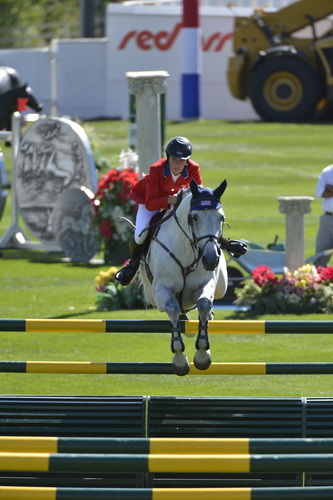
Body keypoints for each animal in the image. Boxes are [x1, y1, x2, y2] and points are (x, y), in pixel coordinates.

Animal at [139, 180, 228, 376]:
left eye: (221, 218)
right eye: (194, 217)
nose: (211, 259)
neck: (187, 248)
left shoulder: (205, 284)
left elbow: (204, 304)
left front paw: (202, 355)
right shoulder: (161, 290)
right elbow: (172, 308)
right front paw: (180, 360)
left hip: (221, 286)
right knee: (178, 311)